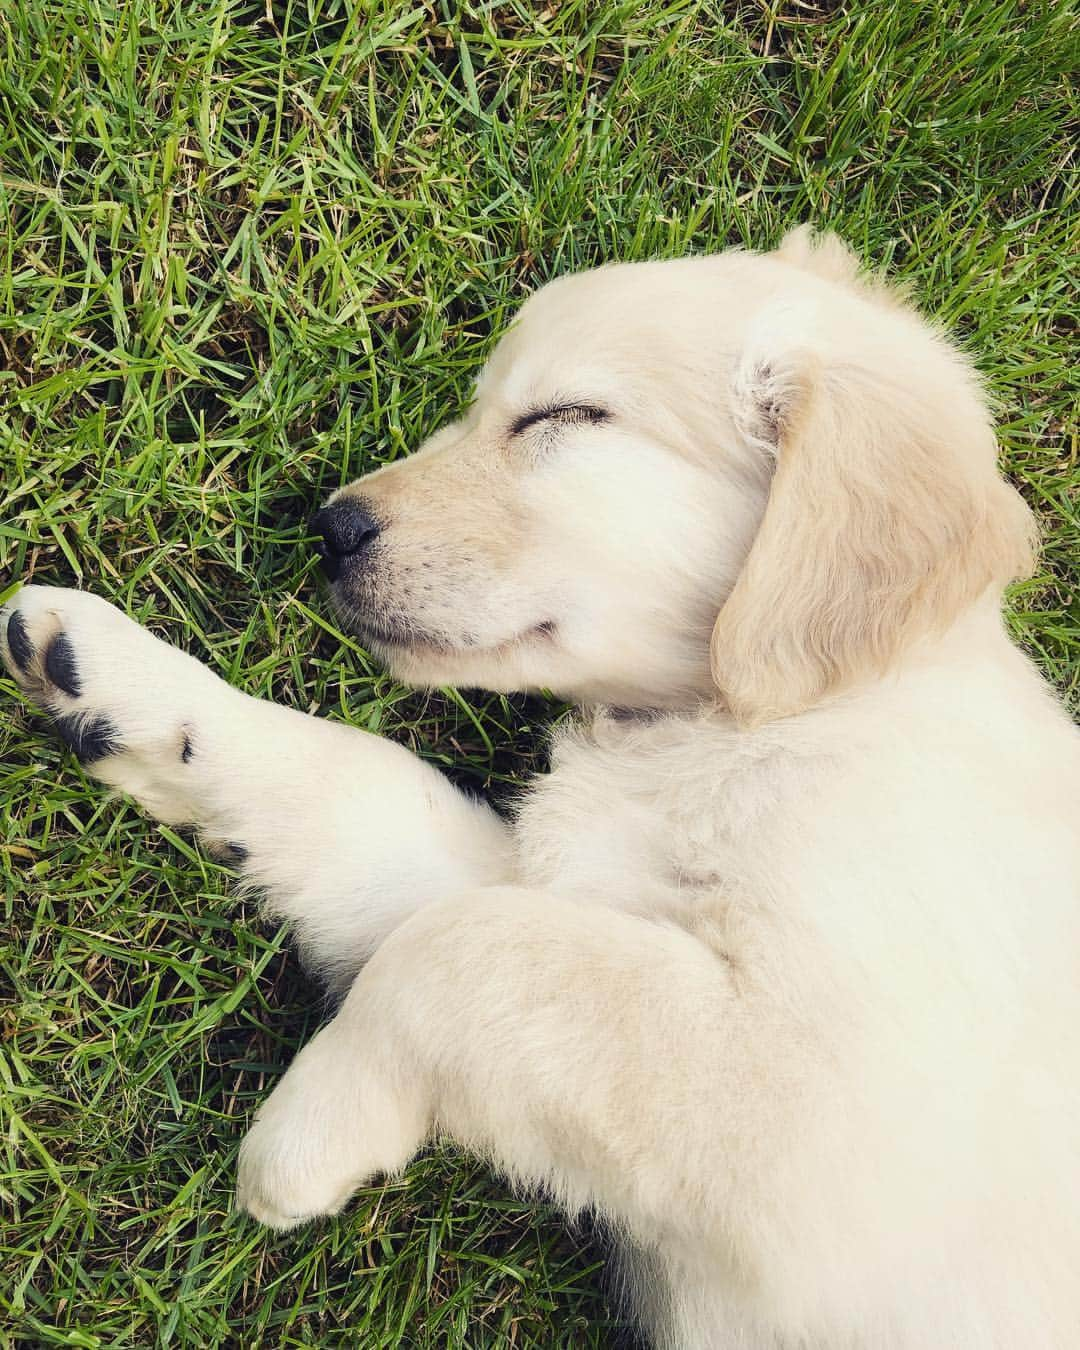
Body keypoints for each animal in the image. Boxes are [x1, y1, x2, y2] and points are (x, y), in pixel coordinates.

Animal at [2, 232, 1080, 1350]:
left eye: (566, 416)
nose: (331, 529)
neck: (754, 721)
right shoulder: (569, 882)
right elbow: (372, 807)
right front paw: (123, 682)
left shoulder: (831, 1113)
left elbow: (467, 949)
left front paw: (314, 1131)